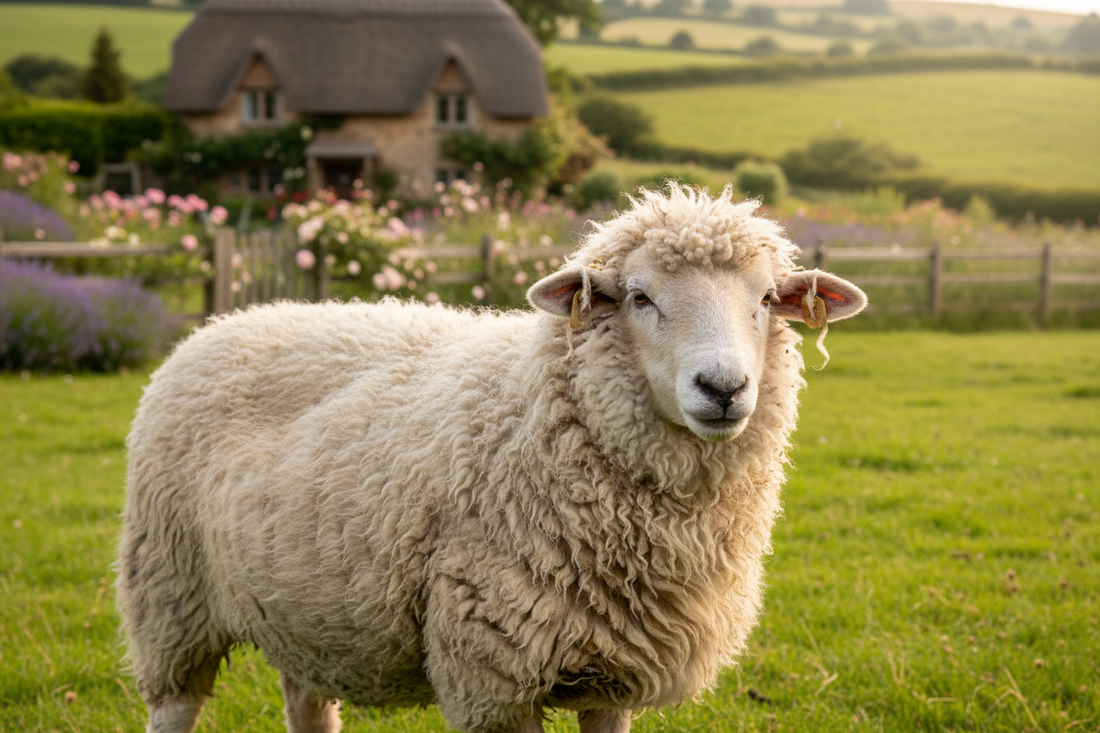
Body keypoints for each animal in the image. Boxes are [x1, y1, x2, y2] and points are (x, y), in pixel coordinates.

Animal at [117, 184, 866, 733]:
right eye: (640, 296)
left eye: (766, 298)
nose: (723, 388)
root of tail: (229, 320)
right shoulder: (494, 675)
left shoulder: (615, 676)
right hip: (169, 594)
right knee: (175, 702)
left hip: (303, 608)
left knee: (306, 704)